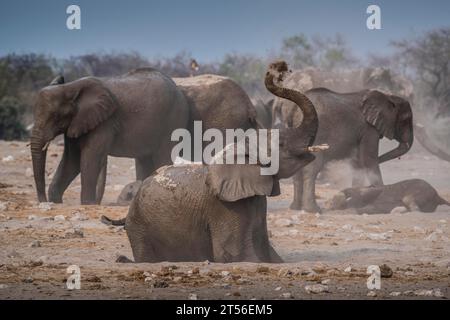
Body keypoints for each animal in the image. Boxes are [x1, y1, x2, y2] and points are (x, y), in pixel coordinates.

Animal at [29, 68, 188, 205]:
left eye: (56, 116)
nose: (43, 202)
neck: (69, 87)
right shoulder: (77, 122)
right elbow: (71, 160)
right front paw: (56, 201)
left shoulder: (104, 122)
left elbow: (89, 156)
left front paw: (88, 204)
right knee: (145, 159)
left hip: (172, 120)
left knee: (162, 157)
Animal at [102, 61, 320, 264]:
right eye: (281, 143)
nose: (277, 69)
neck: (240, 149)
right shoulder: (225, 206)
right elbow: (235, 256)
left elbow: (269, 255)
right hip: (139, 228)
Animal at [272, 70, 414, 212]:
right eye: (405, 120)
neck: (388, 96)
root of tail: (293, 109)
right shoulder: (369, 129)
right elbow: (369, 159)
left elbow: (359, 160)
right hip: (317, 132)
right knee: (312, 168)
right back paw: (313, 210)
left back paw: (295, 208)